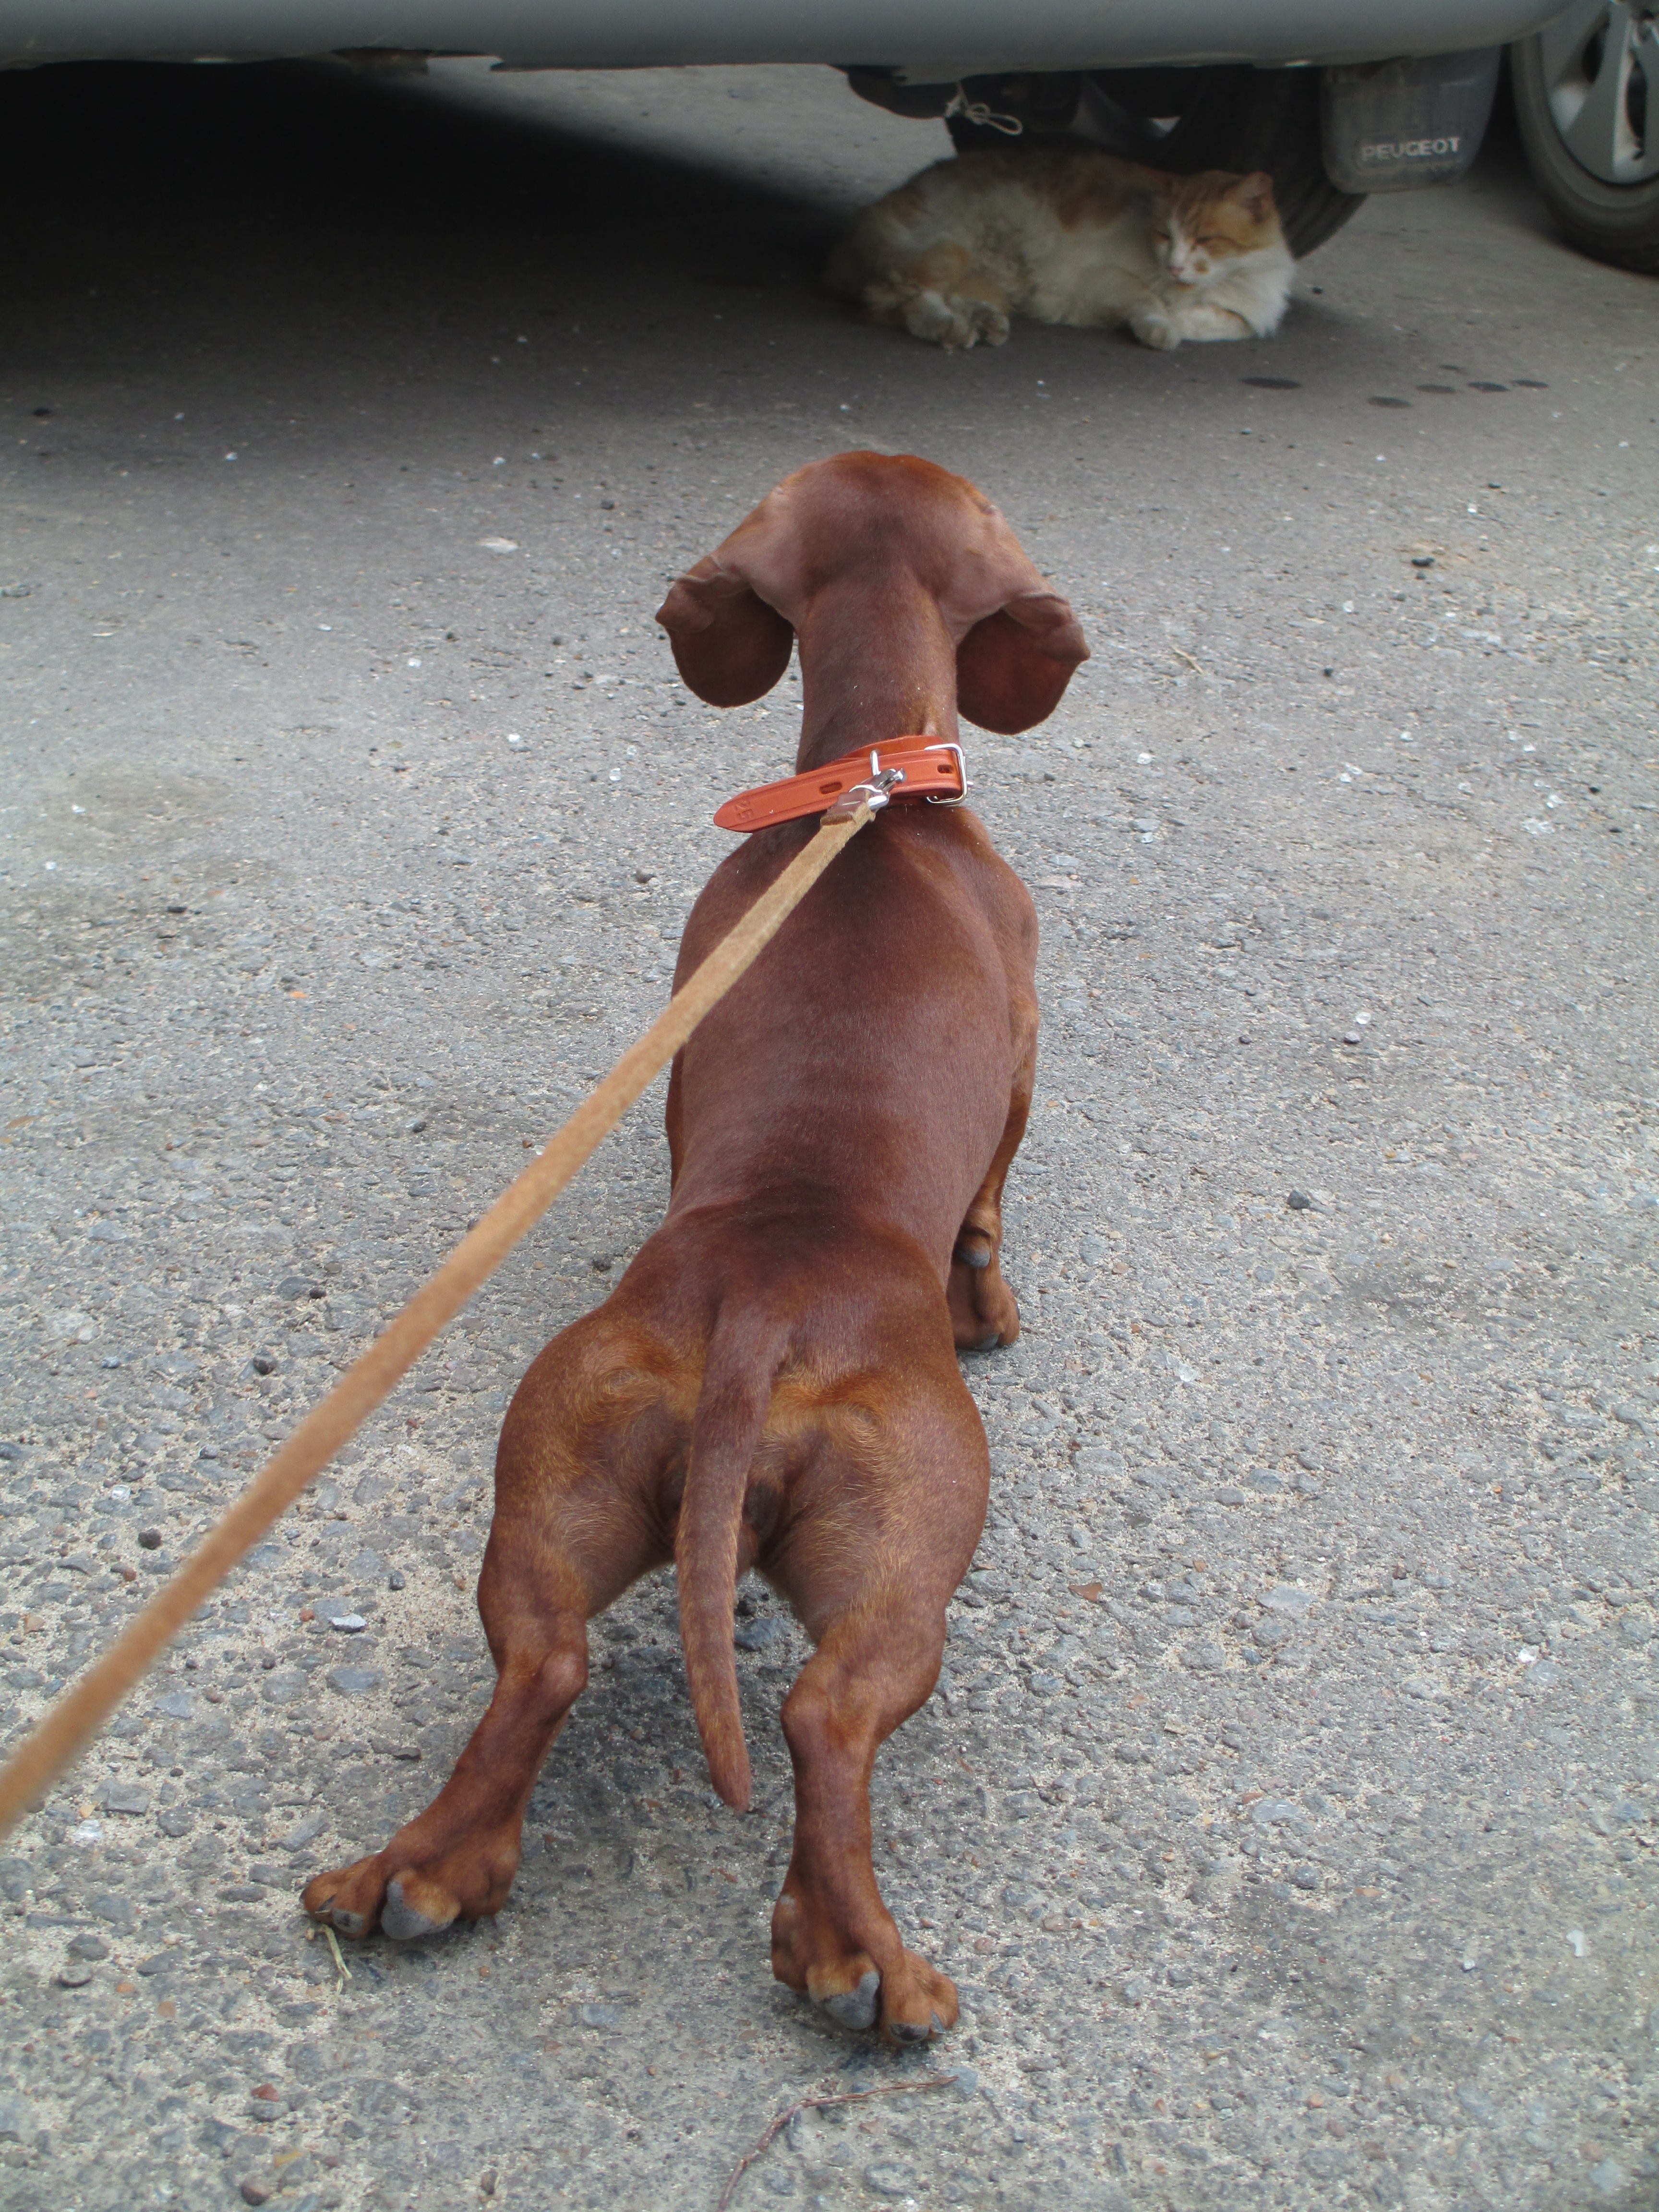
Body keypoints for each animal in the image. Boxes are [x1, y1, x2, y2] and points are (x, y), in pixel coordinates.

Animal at [303, 451, 1088, 2045]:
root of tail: (763, 1313)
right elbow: (991, 1213)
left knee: (544, 1663)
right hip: (913, 1550)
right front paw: (992, 1307)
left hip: (562, 1475)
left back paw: (416, 1874)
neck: (866, 807)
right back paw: (861, 1961)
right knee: (827, 1719)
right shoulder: (1029, 1065)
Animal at [827, 148, 1294, 353]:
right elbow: (1147, 299)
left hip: (980, 271)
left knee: (938, 296)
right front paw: (1160, 323)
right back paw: (950, 326)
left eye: (1206, 240)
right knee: (907, 296)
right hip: (945, 248)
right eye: (1165, 234)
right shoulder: (1101, 277)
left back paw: (982, 319)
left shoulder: (1251, 314)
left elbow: (1226, 323)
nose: (1176, 266)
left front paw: (1179, 318)